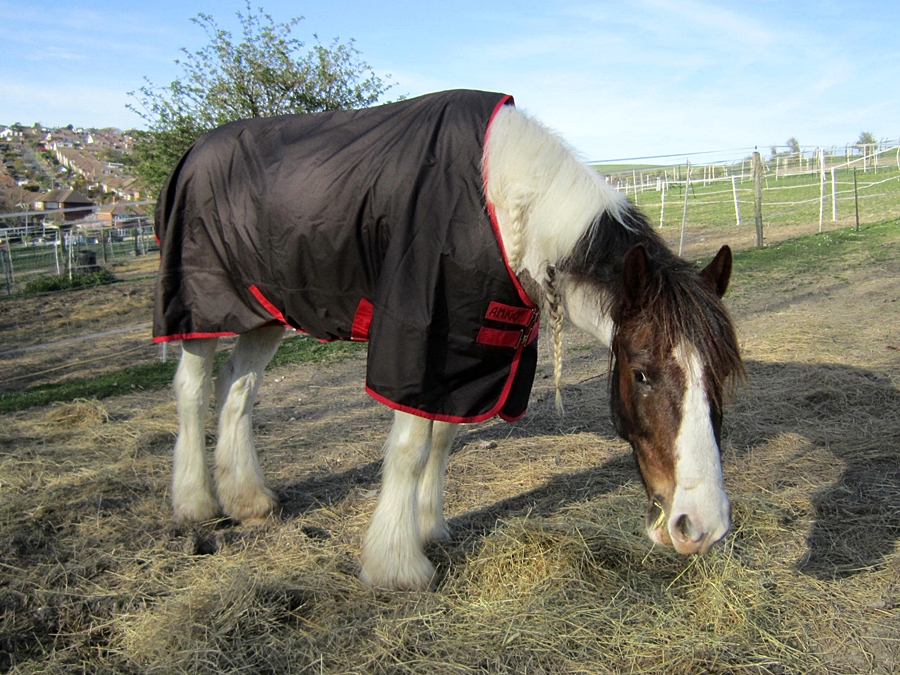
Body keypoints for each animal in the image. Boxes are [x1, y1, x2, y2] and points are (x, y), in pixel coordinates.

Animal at [153, 90, 743, 591]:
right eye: (642, 373)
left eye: (719, 376)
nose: (703, 526)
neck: (504, 202)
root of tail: (193, 152)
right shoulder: (418, 343)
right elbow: (411, 447)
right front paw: (396, 565)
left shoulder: (466, 349)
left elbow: (442, 438)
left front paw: (428, 528)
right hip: (200, 306)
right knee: (192, 389)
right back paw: (195, 503)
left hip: (268, 310)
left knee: (238, 388)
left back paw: (248, 499)